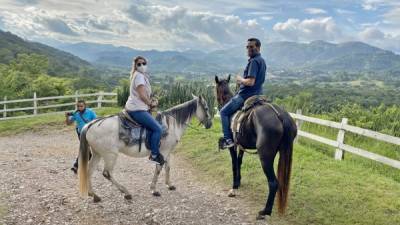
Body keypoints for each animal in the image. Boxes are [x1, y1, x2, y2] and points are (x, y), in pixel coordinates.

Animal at [76, 96, 211, 201]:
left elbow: (168, 167)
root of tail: (90, 124)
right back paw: (126, 192)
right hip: (110, 155)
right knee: (107, 173)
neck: (171, 124)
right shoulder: (163, 152)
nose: (209, 124)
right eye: (206, 108)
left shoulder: (168, 152)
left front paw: (170, 185)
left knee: (89, 171)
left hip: (97, 153)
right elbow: (159, 169)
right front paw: (154, 190)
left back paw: (94, 195)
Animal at [216, 74, 296, 219]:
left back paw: (265, 211)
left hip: (265, 157)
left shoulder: (233, 145)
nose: (219, 106)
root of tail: (280, 116)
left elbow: (234, 163)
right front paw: (239, 182)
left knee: (273, 183)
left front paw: (234, 186)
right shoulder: (241, 145)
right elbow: (239, 162)